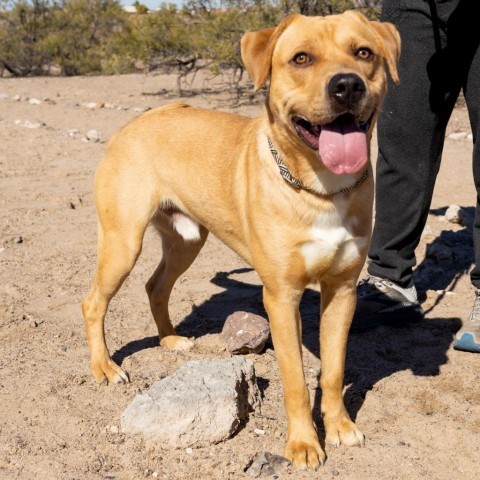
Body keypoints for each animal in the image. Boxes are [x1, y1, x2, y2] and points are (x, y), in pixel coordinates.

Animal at [81, 10, 398, 468]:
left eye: (364, 53)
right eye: (301, 58)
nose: (347, 85)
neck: (321, 190)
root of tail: (135, 121)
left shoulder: (342, 291)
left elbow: (334, 370)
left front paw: (339, 427)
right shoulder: (281, 297)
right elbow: (296, 380)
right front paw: (303, 443)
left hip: (186, 242)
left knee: (155, 286)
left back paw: (170, 339)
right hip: (123, 243)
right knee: (93, 303)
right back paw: (104, 366)